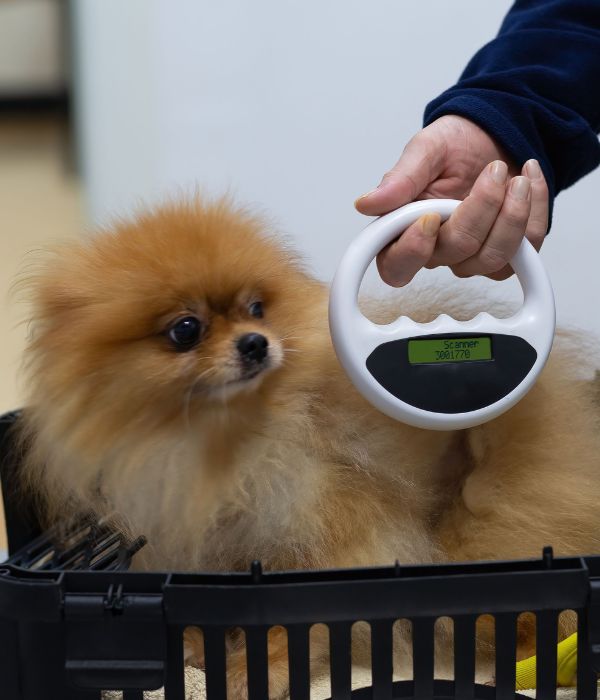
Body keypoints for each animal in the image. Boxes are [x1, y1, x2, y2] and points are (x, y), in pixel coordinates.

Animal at [17, 197, 600, 696]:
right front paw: (193, 645)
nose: (256, 343)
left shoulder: (333, 527)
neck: (224, 442)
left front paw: (256, 669)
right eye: (185, 329)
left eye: (257, 308)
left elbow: (291, 618)